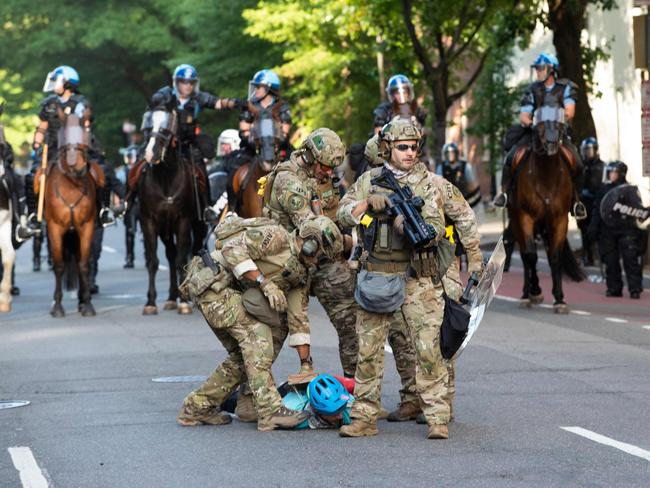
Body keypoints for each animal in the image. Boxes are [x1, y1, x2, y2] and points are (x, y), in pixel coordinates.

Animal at [39, 114, 105, 316]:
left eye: (84, 133)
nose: (78, 166)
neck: (71, 186)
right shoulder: (55, 229)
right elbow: (59, 265)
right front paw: (57, 306)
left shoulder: (86, 227)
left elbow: (84, 264)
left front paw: (87, 304)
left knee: (78, 261)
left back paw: (82, 300)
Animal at [508, 122, 584, 312]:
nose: (551, 142)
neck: (546, 175)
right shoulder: (525, 217)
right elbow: (531, 256)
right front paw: (535, 291)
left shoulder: (560, 219)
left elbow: (555, 257)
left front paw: (559, 299)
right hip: (516, 222)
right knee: (525, 256)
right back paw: (527, 294)